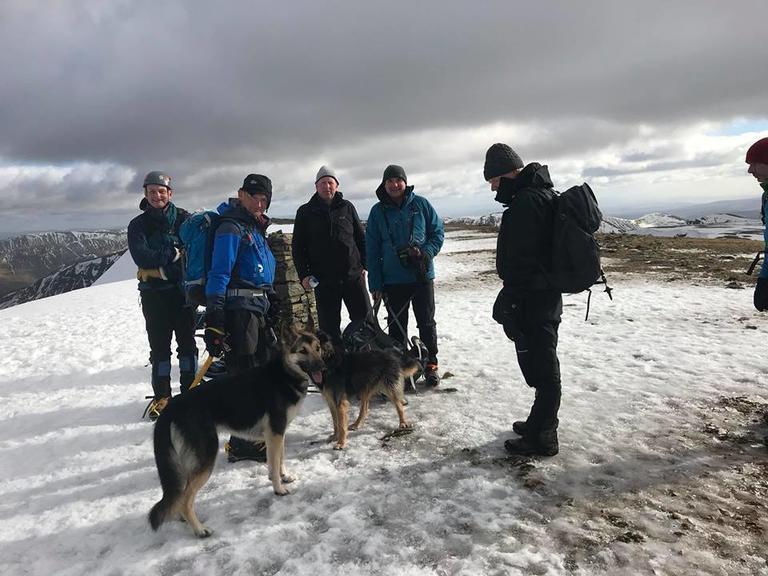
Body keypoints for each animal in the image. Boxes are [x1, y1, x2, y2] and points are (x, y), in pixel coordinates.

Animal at [148, 326, 324, 536]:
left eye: (318, 348)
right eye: (303, 351)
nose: (323, 366)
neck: (284, 375)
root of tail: (170, 408)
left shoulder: (277, 434)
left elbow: (279, 459)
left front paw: (284, 476)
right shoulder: (275, 433)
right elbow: (275, 462)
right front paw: (278, 488)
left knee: (180, 495)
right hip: (206, 458)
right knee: (185, 499)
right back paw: (199, 530)